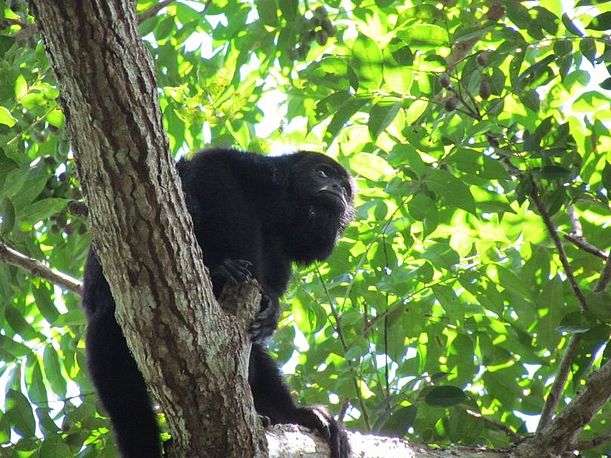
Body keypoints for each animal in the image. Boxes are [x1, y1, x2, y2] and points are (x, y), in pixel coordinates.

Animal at [83, 148, 356, 458]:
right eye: (322, 173)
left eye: (345, 188)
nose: (337, 189)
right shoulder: (263, 174)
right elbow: (215, 168)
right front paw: (227, 268)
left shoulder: (284, 252)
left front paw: (271, 308)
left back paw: (295, 414)